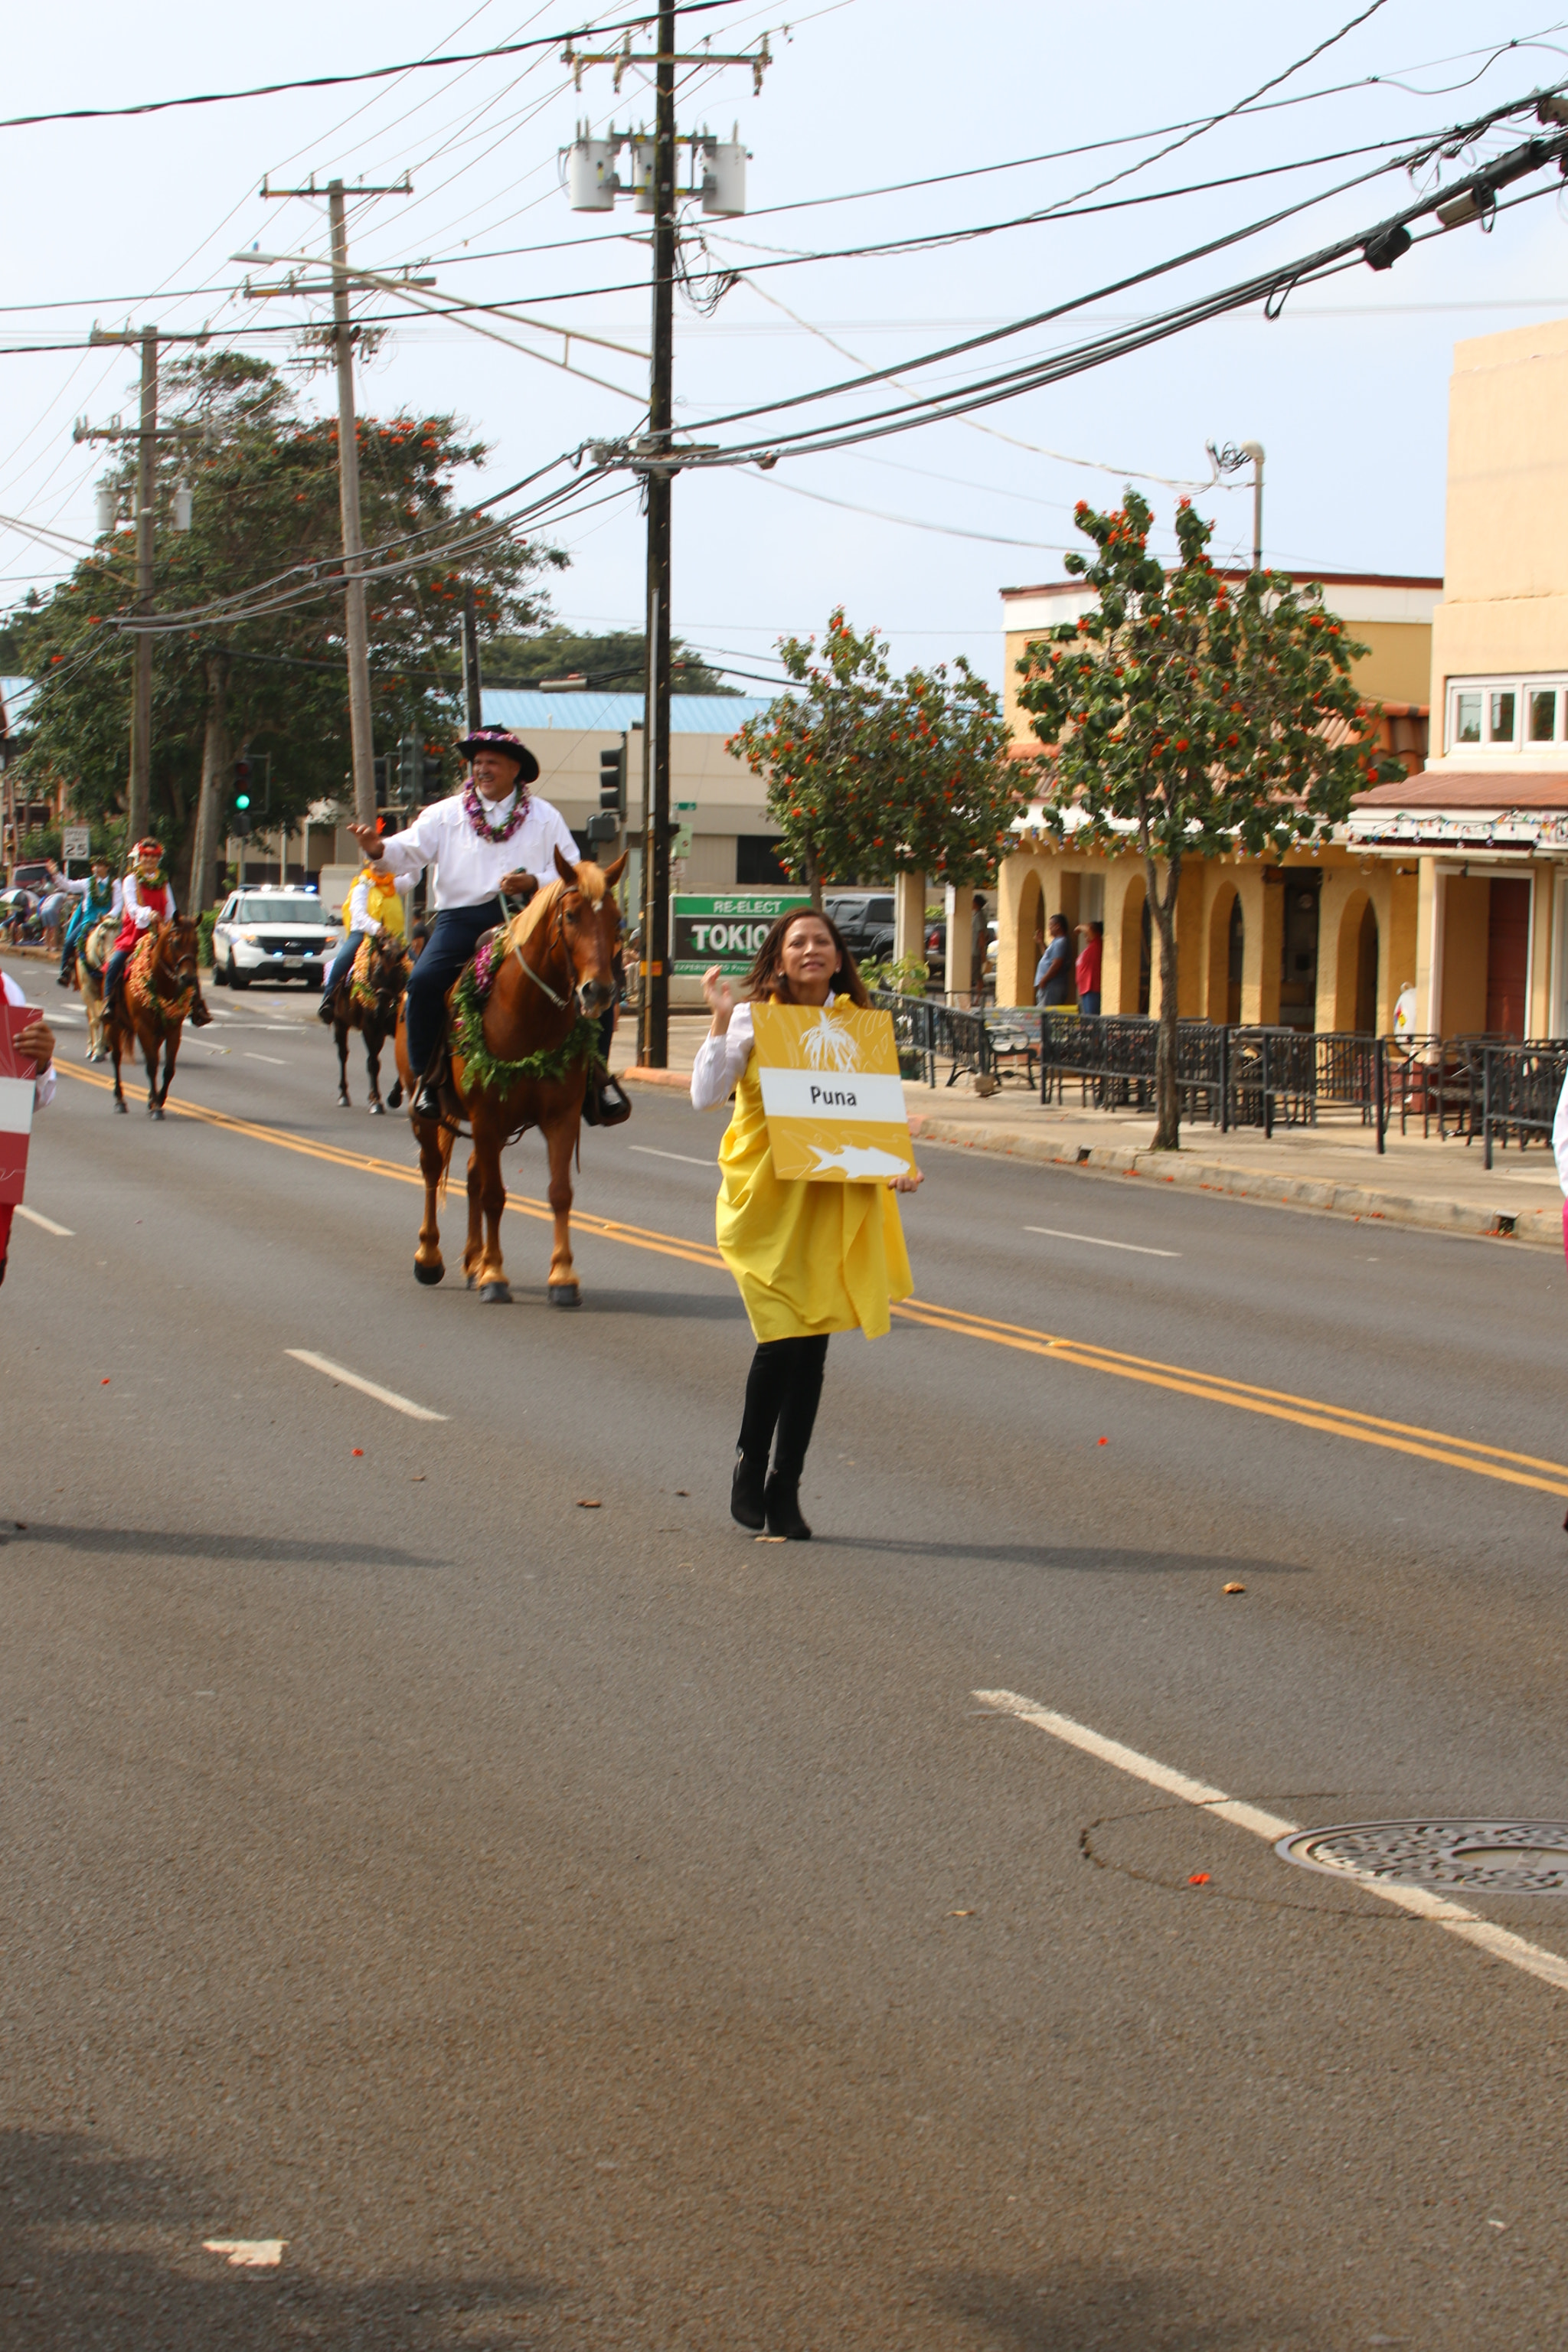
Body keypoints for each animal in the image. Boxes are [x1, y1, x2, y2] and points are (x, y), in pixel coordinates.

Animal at [107, 912, 201, 1115]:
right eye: (176, 942)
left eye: (197, 944)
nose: (188, 978)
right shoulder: (143, 1027)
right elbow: (151, 1066)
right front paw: (156, 1107)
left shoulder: (174, 1030)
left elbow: (169, 1069)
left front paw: (159, 1099)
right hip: (114, 1024)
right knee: (116, 1057)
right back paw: (119, 1100)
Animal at [328, 931, 411, 1115]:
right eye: (378, 971)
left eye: (398, 973)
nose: (380, 1011)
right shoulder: (371, 1029)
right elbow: (373, 1064)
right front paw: (376, 1101)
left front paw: (394, 1097)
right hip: (340, 1023)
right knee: (343, 1055)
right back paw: (344, 1095)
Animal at [394, 846, 629, 1308]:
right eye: (570, 915)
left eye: (615, 919)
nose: (598, 992)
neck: (529, 1014)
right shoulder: (487, 1116)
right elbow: (495, 1196)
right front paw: (495, 1276)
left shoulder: (560, 1116)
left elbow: (559, 1193)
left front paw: (562, 1277)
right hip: (427, 1109)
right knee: (432, 1168)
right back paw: (430, 1258)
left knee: (470, 1175)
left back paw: (473, 1260)